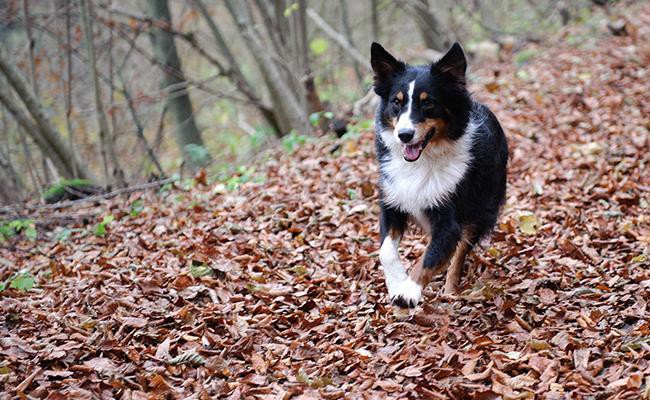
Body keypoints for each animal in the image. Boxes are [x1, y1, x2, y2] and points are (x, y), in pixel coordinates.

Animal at [370, 41, 506, 310]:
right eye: (396, 102)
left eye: (427, 103)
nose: (404, 135)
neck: (424, 160)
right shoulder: (392, 203)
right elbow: (386, 251)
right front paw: (396, 282)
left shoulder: (448, 220)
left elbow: (430, 257)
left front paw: (408, 290)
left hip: (480, 210)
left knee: (460, 252)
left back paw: (451, 289)